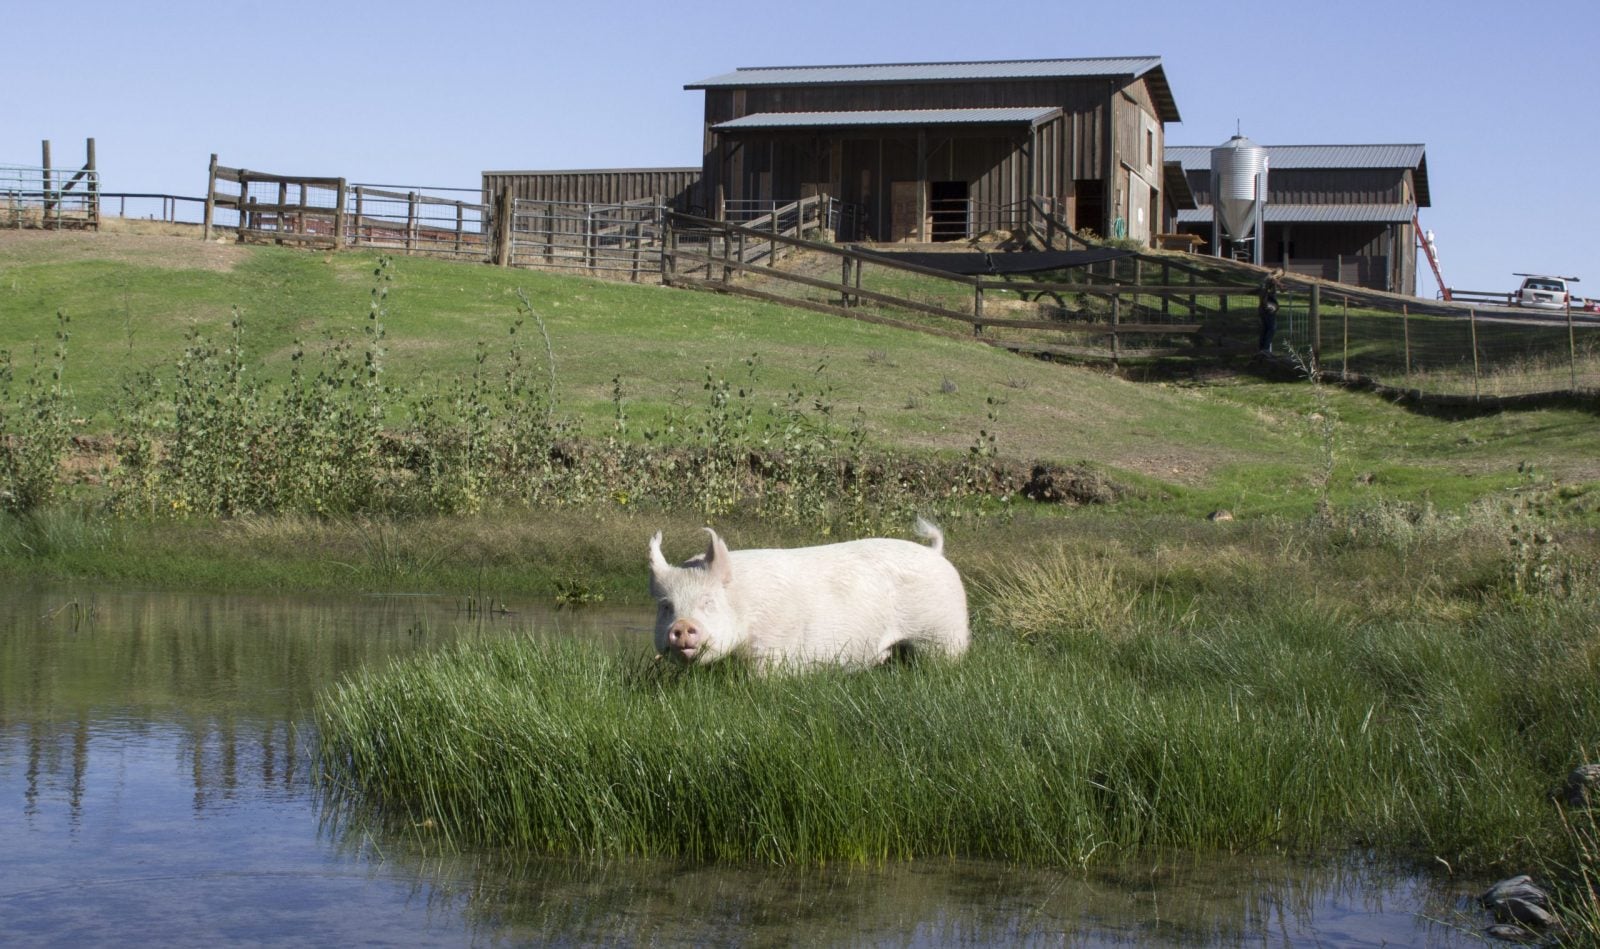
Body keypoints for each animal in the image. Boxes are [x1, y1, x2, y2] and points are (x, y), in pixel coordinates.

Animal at [647, 518, 970, 670]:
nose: (682, 626)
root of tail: (936, 553)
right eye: (667, 607)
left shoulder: (773, 649)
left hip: (943, 634)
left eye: (708, 602)